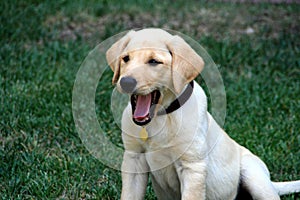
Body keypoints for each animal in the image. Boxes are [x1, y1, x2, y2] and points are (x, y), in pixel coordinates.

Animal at [106, 28, 300, 200]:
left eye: (154, 61)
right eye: (126, 59)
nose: (126, 82)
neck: (161, 117)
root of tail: (272, 183)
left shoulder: (193, 167)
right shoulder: (134, 160)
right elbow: (129, 195)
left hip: (253, 175)